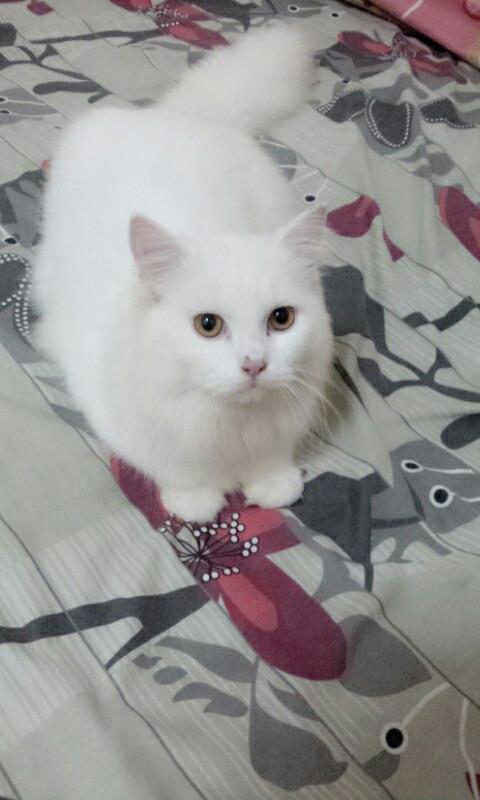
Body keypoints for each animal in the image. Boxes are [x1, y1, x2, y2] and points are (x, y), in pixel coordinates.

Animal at [33, 24, 333, 522]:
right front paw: (196, 500)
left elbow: (273, 458)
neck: (229, 426)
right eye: (207, 325)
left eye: (281, 319)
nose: (255, 364)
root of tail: (173, 114)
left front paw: (274, 485)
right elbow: (173, 466)